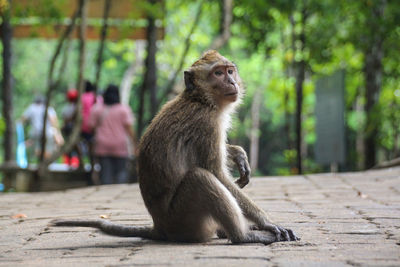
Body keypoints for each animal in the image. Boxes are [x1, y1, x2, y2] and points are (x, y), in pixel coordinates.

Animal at [50, 50, 300, 245]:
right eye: (217, 73)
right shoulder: (207, 123)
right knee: (200, 178)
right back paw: (242, 236)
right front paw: (267, 223)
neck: (201, 99)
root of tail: (159, 226)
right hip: (184, 220)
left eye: (230, 71)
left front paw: (238, 153)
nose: (232, 82)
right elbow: (217, 173)